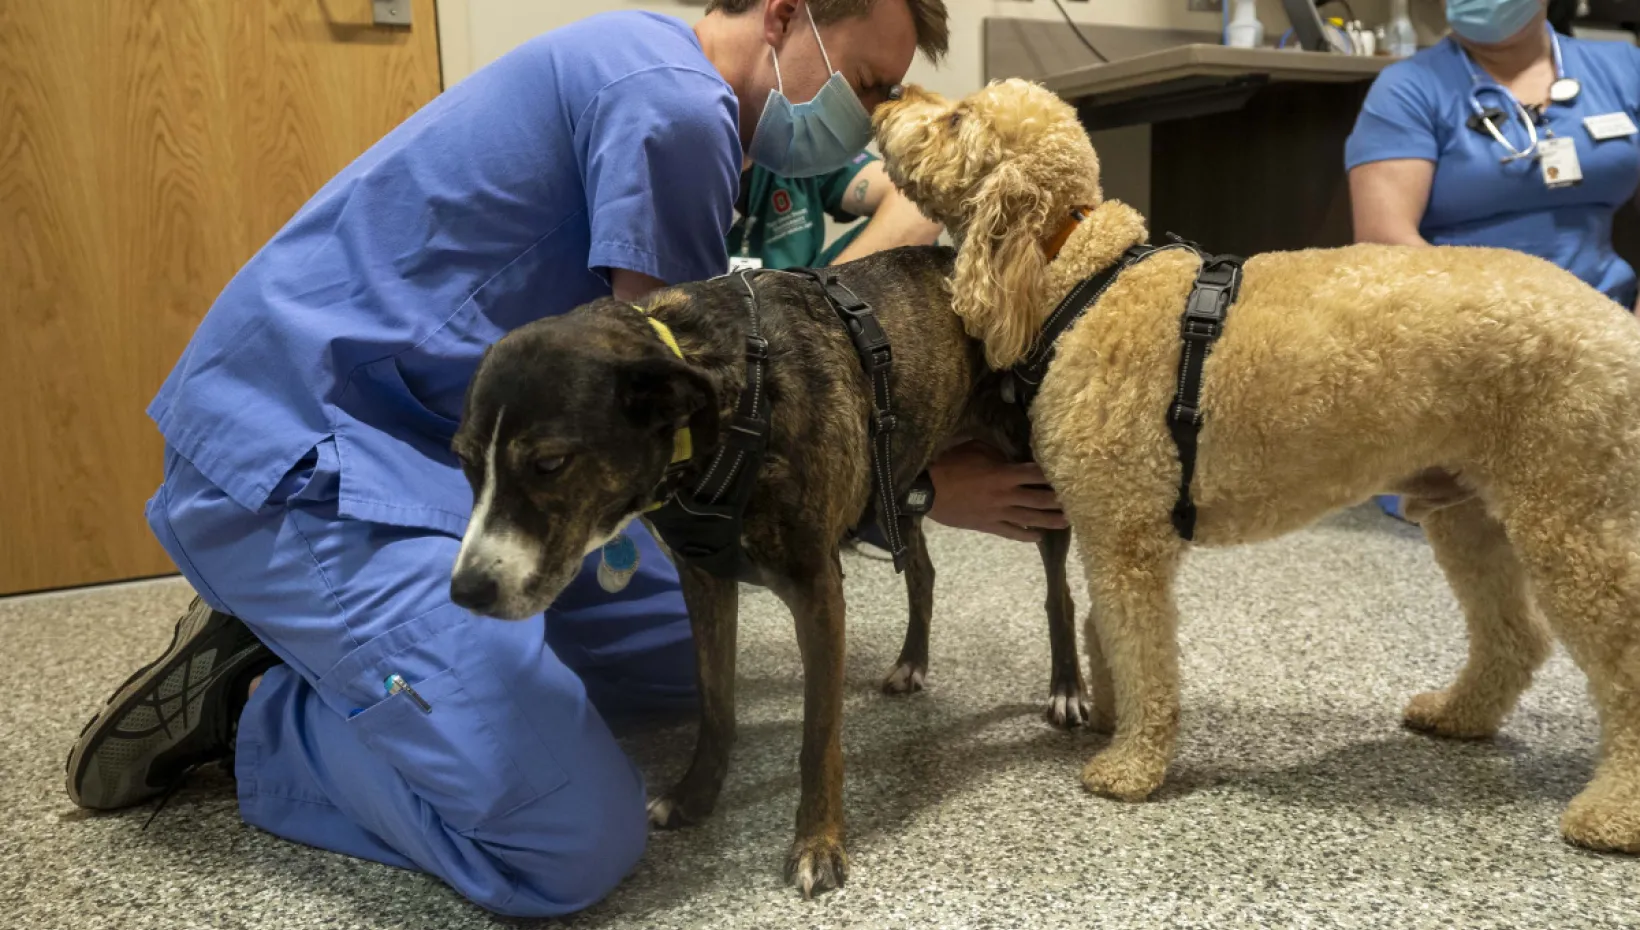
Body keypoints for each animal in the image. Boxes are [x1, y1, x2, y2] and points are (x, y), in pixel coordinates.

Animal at [449, 246, 1088, 892]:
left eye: (550, 463)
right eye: (464, 462)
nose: (465, 591)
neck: (726, 403)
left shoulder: (817, 592)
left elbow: (818, 736)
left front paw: (819, 843)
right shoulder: (705, 581)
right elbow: (715, 705)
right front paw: (694, 797)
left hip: (1033, 472)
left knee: (1059, 594)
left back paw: (1067, 690)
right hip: (899, 474)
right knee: (924, 574)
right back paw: (911, 662)